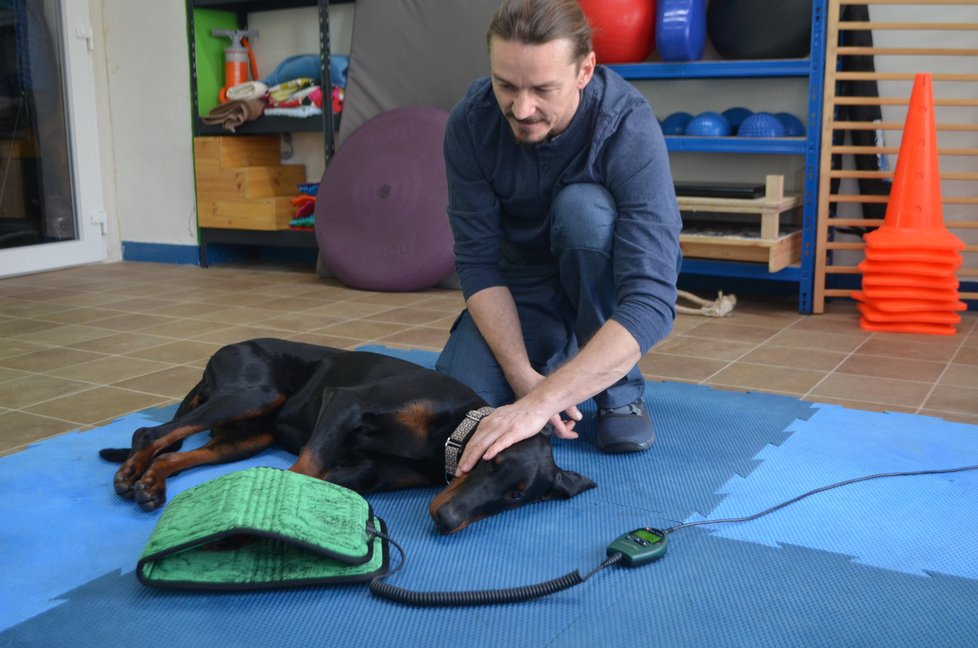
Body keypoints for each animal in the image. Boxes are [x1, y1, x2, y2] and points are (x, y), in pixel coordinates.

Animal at [99, 340, 592, 532]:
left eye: (516, 496)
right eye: (489, 460)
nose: (447, 519)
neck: (446, 439)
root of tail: (224, 351)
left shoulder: (366, 473)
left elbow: (320, 478)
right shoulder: (343, 403)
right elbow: (305, 467)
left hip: (248, 438)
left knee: (173, 453)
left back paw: (150, 484)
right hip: (251, 395)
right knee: (150, 431)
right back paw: (130, 473)